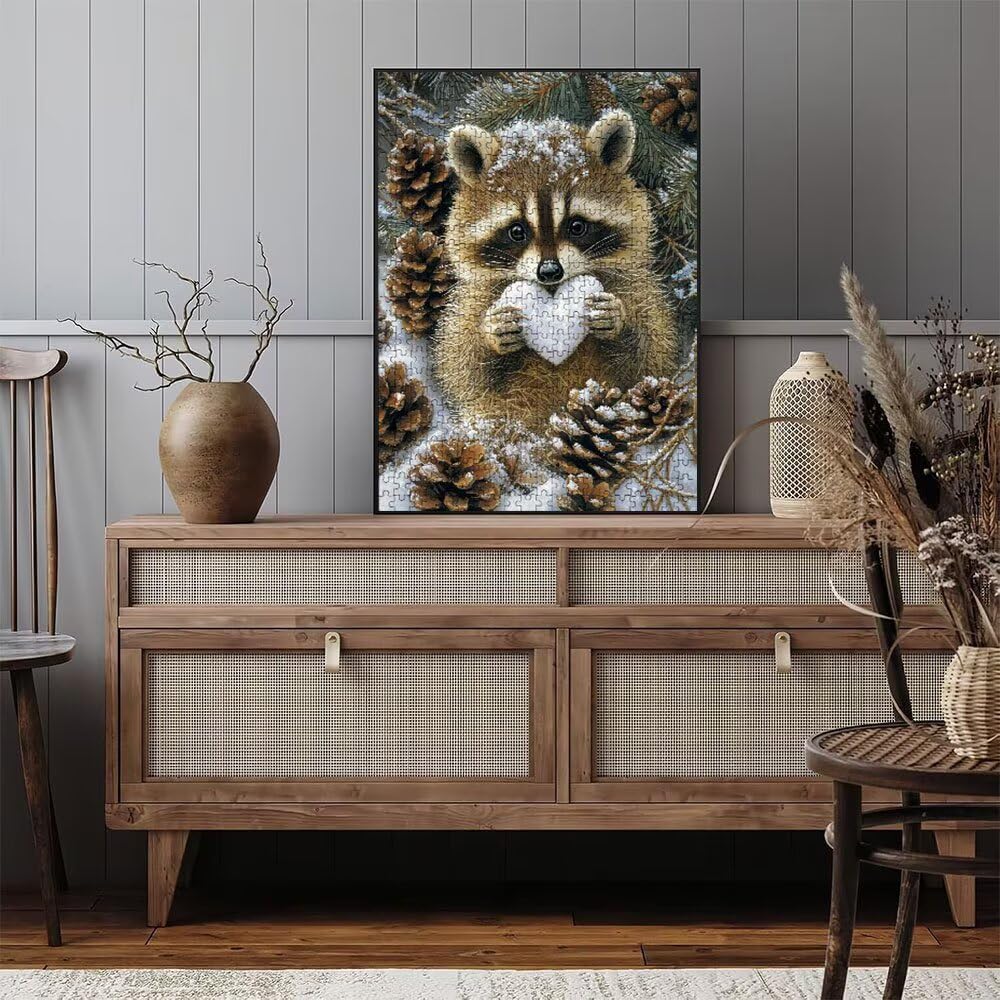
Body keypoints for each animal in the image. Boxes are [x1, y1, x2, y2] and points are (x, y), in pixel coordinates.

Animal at [433, 110, 677, 433]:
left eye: (577, 226)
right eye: (517, 231)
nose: (549, 271)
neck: (552, 291)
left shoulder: (639, 289)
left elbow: (651, 357)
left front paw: (618, 320)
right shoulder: (471, 304)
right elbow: (463, 369)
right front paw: (491, 332)